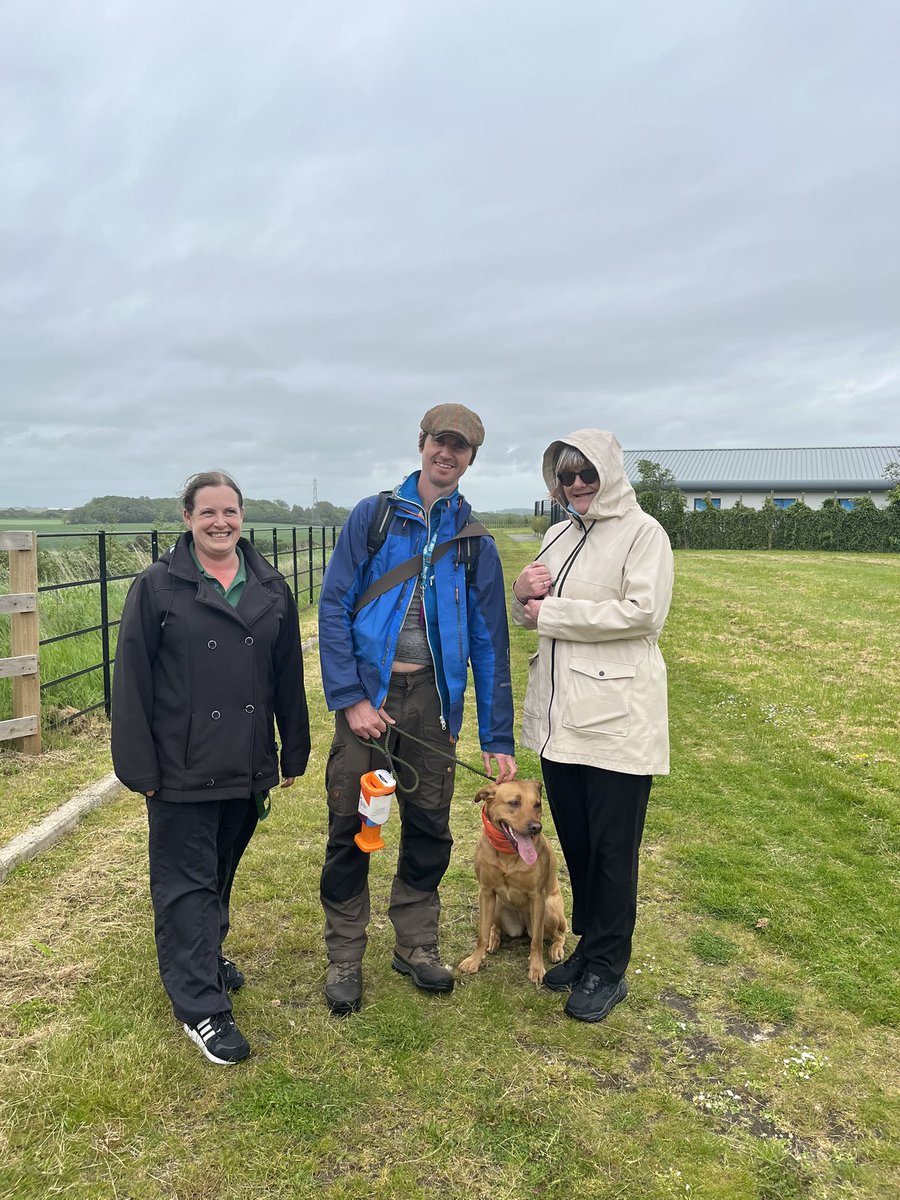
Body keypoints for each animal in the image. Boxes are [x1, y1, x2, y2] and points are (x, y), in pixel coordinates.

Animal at [460, 777, 566, 984]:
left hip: (550, 909)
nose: (536, 828)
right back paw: (494, 939)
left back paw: (556, 949)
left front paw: (536, 967)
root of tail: (523, 927)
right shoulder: (486, 891)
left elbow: (536, 942)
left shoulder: (537, 896)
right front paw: (475, 959)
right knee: (494, 927)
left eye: (537, 804)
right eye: (514, 803)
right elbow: (482, 933)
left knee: (558, 934)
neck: (508, 853)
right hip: (497, 906)